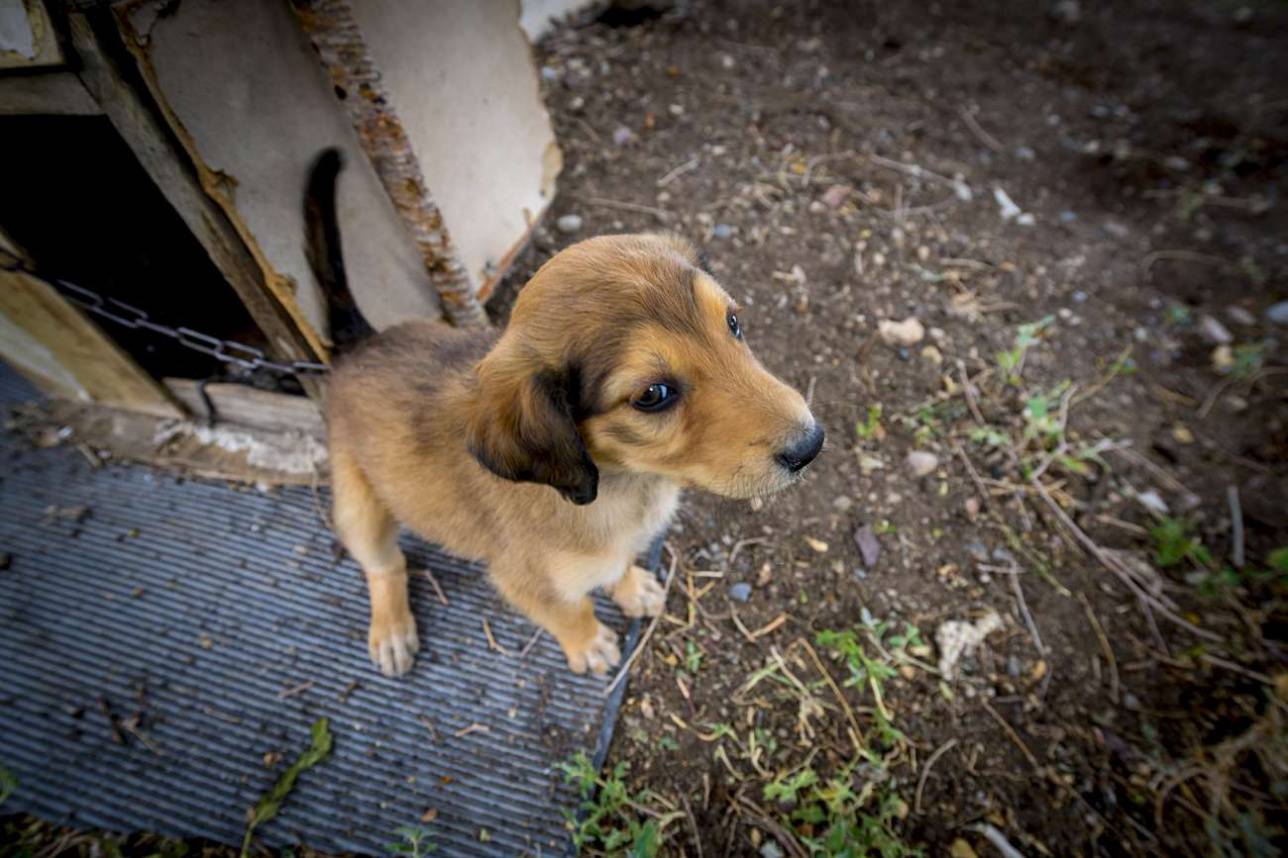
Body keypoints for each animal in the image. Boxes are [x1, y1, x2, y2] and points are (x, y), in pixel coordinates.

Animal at [306, 158, 819, 675]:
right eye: (653, 394)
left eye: (733, 322)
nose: (812, 445)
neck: (626, 484)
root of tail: (359, 345)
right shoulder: (526, 582)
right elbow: (571, 610)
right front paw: (589, 644)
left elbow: (618, 564)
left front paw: (632, 588)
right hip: (359, 505)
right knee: (384, 565)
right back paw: (392, 630)